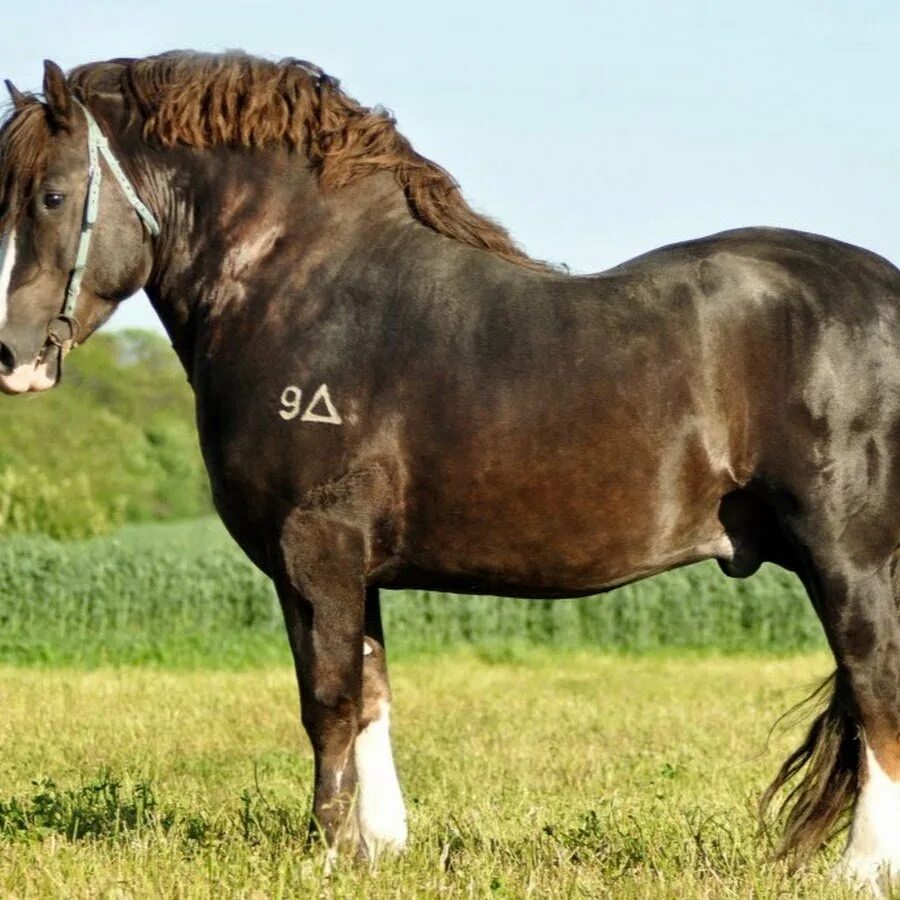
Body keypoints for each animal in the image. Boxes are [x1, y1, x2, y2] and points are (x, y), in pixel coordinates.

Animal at [1, 52, 900, 888]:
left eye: (50, 196)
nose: (12, 357)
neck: (302, 288)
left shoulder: (315, 551)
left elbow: (327, 702)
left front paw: (328, 856)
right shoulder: (348, 570)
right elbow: (372, 693)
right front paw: (381, 848)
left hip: (848, 560)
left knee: (875, 685)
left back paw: (862, 869)